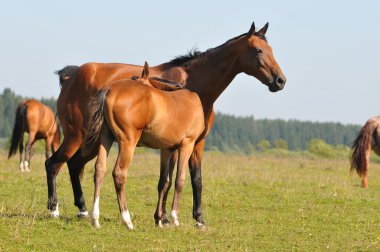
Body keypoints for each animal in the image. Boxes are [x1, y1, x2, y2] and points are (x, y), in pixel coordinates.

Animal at [81, 63, 205, 228]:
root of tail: (109, 90)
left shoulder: (167, 149)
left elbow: (164, 182)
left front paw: (159, 219)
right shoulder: (187, 144)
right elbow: (179, 180)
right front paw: (174, 218)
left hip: (105, 139)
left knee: (100, 170)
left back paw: (95, 219)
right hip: (128, 142)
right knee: (119, 173)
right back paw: (127, 220)